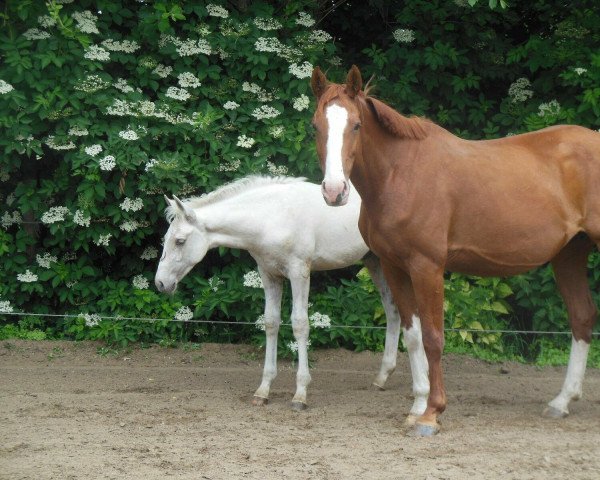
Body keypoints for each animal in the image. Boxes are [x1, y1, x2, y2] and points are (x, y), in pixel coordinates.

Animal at [312, 63, 596, 436]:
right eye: (316, 126)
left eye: (356, 125)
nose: (334, 191)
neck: (401, 173)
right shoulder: (394, 266)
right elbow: (413, 335)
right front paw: (417, 406)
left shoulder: (427, 267)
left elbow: (433, 338)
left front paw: (432, 414)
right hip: (569, 255)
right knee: (582, 317)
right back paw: (561, 402)